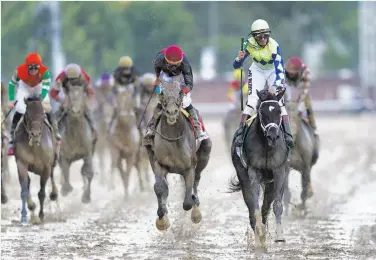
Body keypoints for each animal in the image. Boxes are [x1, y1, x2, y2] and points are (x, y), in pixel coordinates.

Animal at [13, 96, 58, 224]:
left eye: (43, 114)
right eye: (27, 114)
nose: (35, 134)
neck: (34, 146)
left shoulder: (46, 166)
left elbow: (42, 193)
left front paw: (41, 215)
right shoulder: (21, 163)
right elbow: (24, 190)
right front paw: (32, 212)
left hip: (53, 161)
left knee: (52, 175)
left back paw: (54, 194)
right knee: (28, 183)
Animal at [145, 78, 212, 231]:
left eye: (180, 92)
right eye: (162, 92)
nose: (171, 112)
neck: (172, 137)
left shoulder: (189, 167)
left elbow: (187, 200)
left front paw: (194, 210)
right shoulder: (159, 163)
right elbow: (160, 187)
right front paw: (162, 218)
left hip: (204, 154)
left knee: (196, 179)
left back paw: (196, 207)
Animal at [226, 89, 290, 250]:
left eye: (279, 111)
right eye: (262, 112)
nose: (273, 136)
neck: (267, 146)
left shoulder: (279, 170)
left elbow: (277, 205)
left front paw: (280, 236)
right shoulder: (253, 171)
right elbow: (254, 204)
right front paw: (259, 233)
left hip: (270, 183)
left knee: (266, 206)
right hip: (243, 175)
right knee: (250, 205)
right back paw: (258, 234)